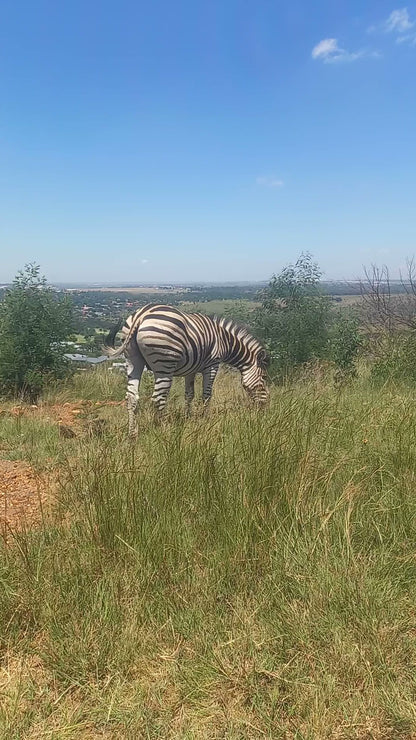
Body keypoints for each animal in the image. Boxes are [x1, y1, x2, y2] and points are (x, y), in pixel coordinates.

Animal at [104, 304, 270, 436]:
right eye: (264, 377)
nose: (265, 407)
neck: (225, 341)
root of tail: (141, 314)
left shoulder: (190, 370)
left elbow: (189, 394)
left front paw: (187, 417)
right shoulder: (212, 365)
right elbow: (206, 394)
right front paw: (205, 419)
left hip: (132, 360)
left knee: (131, 397)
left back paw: (133, 434)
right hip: (165, 363)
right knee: (158, 398)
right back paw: (163, 430)